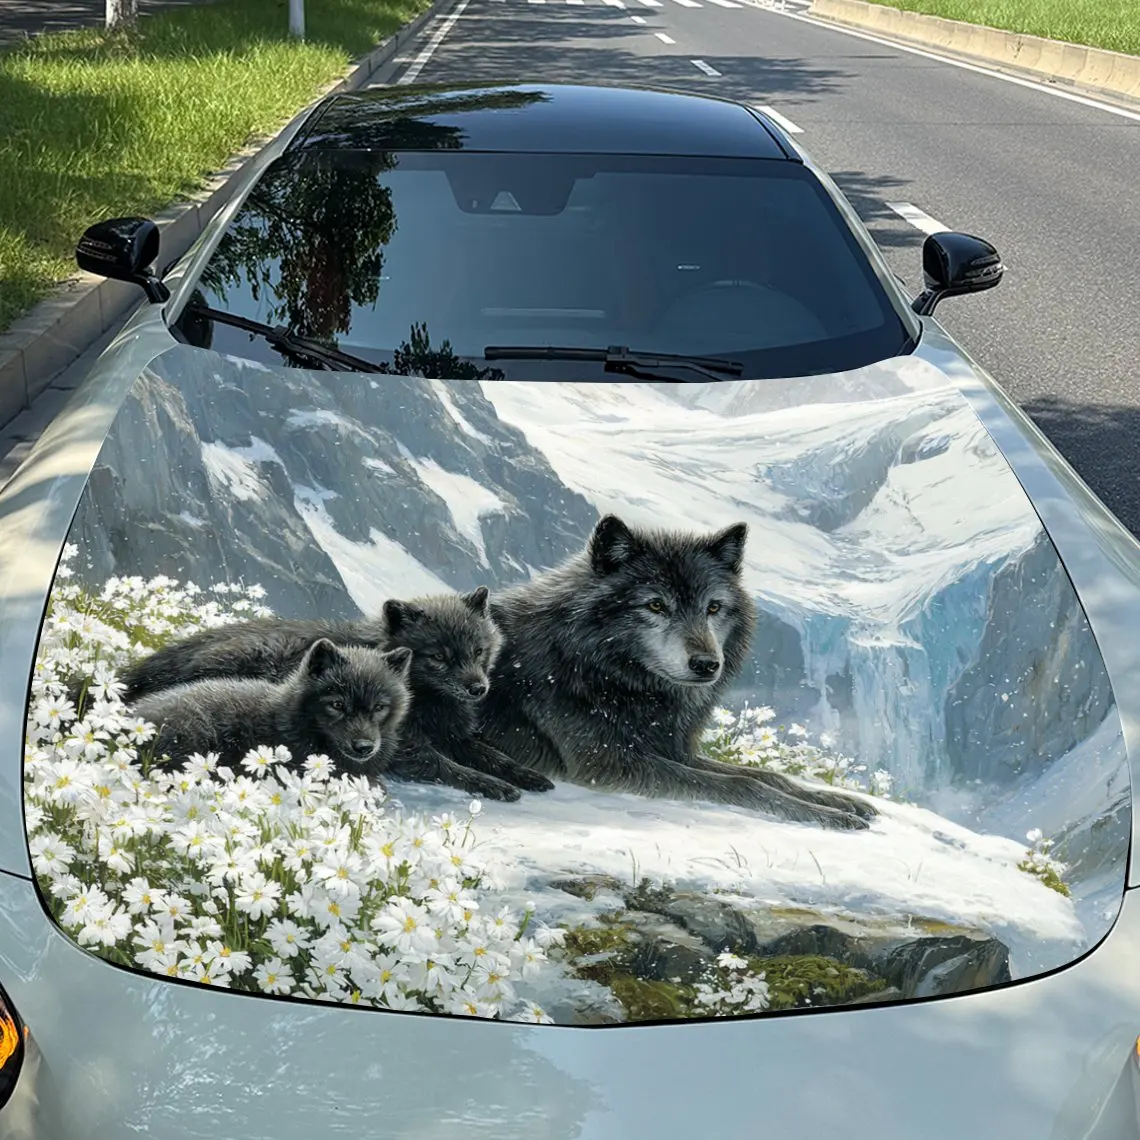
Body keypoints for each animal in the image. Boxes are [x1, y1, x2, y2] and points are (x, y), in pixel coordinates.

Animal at [478, 515, 878, 830]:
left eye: (713, 607)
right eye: (656, 605)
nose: (706, 664)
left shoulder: (674, 750)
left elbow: (768, 775)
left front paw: (839, 801)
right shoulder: (606, 763)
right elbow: (742, 784)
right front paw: (830, 816)